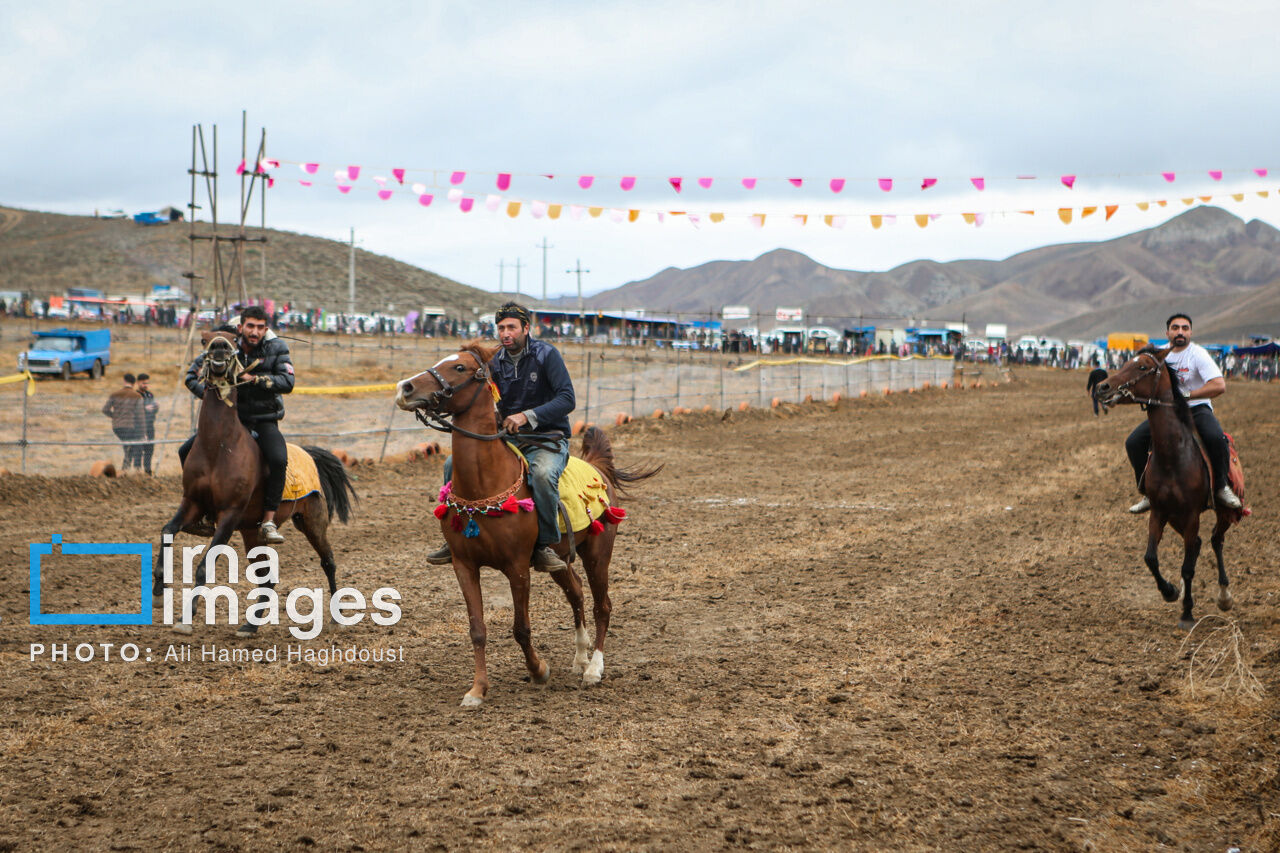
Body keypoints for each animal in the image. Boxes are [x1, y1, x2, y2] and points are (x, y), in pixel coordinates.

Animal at [156, 327, 355, 635]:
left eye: (233, 341)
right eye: (205, 340)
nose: (219, 352)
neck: (219, 446)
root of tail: (309, 454)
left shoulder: (229, 514)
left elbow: (204, 566)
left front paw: (186, 618)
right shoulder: (192, 502)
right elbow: (167, 531)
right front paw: (157, 588)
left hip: (312, 521)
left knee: (328, 561)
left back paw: (336, 616)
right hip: (252, 533)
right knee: (267, 580)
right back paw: (250, 625)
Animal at [394, 338, 660, 701]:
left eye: (460, 367)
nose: (405, 388)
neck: (485, 484)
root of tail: (598, 468)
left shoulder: (517, 566)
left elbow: (521, 628)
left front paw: (539, 670)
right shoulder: (464, 565)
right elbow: (477, 629)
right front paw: (477, 690)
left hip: (598, 553)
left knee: (601, 605)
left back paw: (593, 669)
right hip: (560, 558)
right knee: (576, 592)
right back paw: (580, 657)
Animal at [1085, 343, 1244, 627]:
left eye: (1142, 367)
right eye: (1127, 361)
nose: (1103, 387)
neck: (1174, 455)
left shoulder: (1191, 514)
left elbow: (1188, 567)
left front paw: (1187, 613)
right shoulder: (1160, 512)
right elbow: (1150, 558)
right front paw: (1170, 591)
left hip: (1223, 513)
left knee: (1216, 541)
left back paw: (1224, 595)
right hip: (1175, 518)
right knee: (1200, 543)